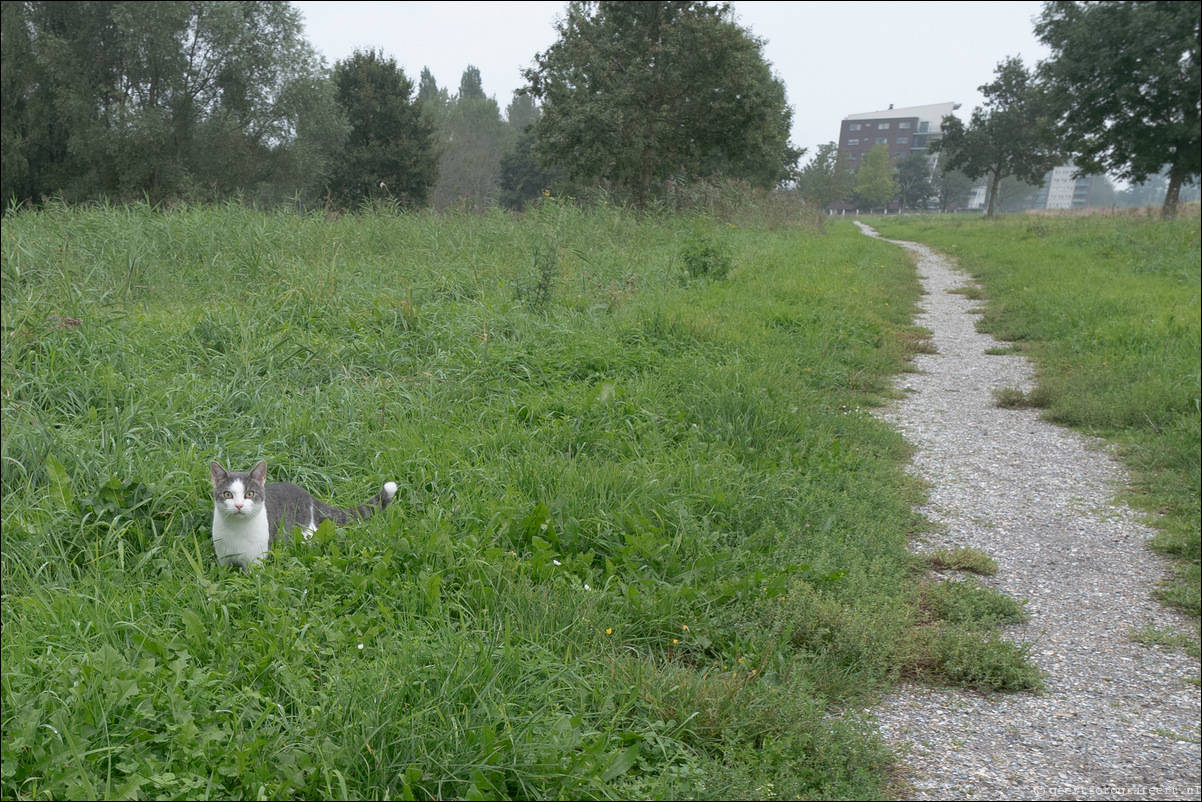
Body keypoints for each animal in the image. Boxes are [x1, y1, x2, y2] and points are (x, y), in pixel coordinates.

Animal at [205, 461, 394, 567]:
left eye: (249, 494)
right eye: (228, 495)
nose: (238, 505)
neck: (237, 530)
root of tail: (308, 496)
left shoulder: (256, 561)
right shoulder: (223, 558)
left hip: (306, 533)